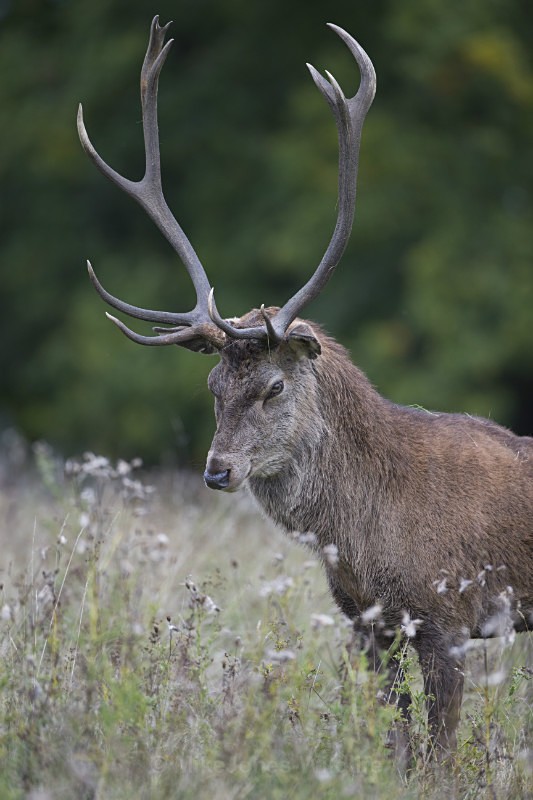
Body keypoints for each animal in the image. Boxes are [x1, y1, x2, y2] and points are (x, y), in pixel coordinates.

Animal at [77, 16, 533, 763]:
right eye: (212, 384)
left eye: (271, 386)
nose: (216, 470)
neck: (365, 534)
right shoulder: (365, 622)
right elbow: (395, 740)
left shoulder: (449, 615)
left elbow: (438, 755)